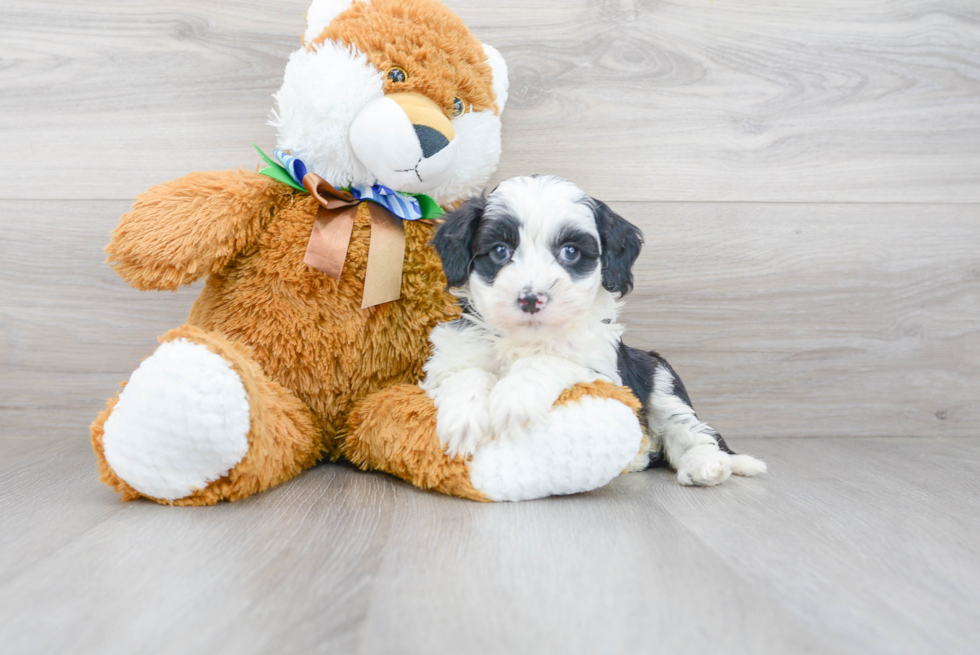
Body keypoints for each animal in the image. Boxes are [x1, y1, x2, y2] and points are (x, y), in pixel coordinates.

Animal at [422, 174, 764, 486]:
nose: (531, 298)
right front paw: (463, 419)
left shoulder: (602, 371)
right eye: (499, 251)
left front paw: (514, 397)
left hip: (659, 374)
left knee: (689, 430)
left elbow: (550, 360)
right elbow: (465, 373)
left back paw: (706, 465)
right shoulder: (450, 358)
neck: (528, 339)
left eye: (571, 252)